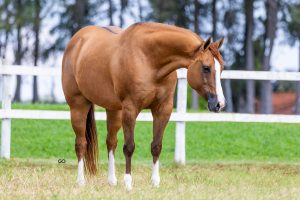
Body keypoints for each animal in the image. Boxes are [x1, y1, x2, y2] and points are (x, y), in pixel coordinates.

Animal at [61, 22, 225, 191]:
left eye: (222, 67)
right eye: (206, 67)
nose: (219, 104)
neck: (149, 60)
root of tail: (77, 40)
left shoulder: (163, 110)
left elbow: (156, 146)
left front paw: (155, 182)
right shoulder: (130, 109)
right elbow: (129, 147)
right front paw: (128, 183)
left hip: (114, 110)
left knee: (111, 142)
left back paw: (112, 181)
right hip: (78, 105)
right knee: (81, 144)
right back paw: (80, 182)